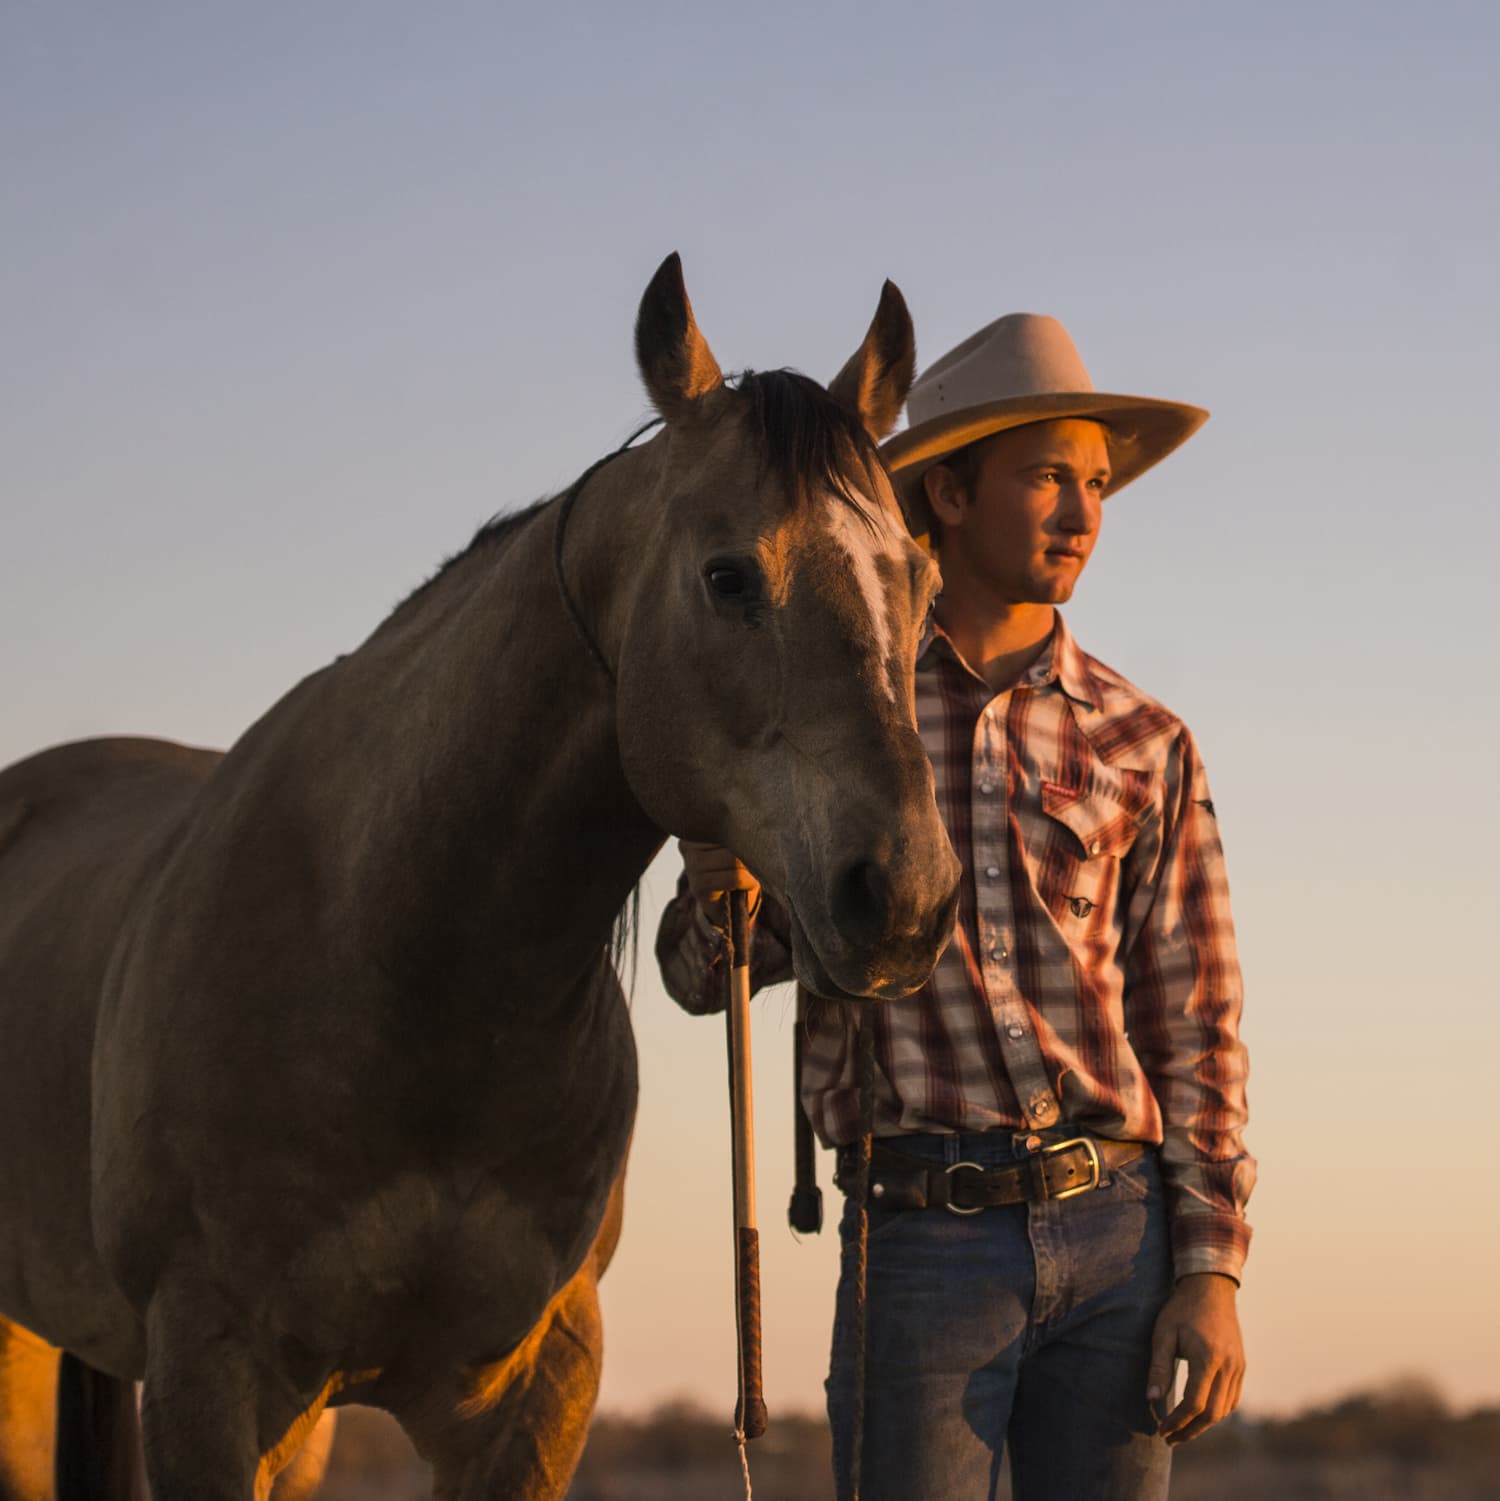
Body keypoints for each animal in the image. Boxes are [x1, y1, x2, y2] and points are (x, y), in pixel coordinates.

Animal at [0, 258, 960, 1501]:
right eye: (728, 575)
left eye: (921, 578)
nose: (906, 897)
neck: (407, 965)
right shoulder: (210, 1377)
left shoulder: (533, 1389)